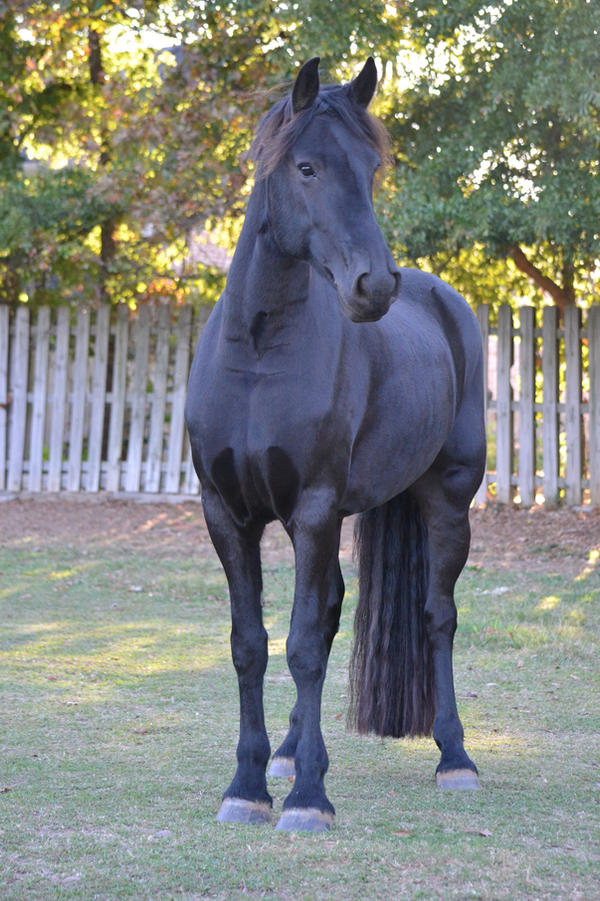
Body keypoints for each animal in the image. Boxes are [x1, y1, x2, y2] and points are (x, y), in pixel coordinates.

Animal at [185, 54, 486, 828]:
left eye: (372, 168)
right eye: (308, 167)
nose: (374, 284)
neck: (260, 354)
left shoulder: (315, 508)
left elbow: (303, 649)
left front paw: (307, 799)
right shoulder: (228, 513)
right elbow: (254, 645)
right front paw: (249, 784)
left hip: (446, 502)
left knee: (437, 617)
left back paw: (455, 757)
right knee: (328, 612)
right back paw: (292, 751)